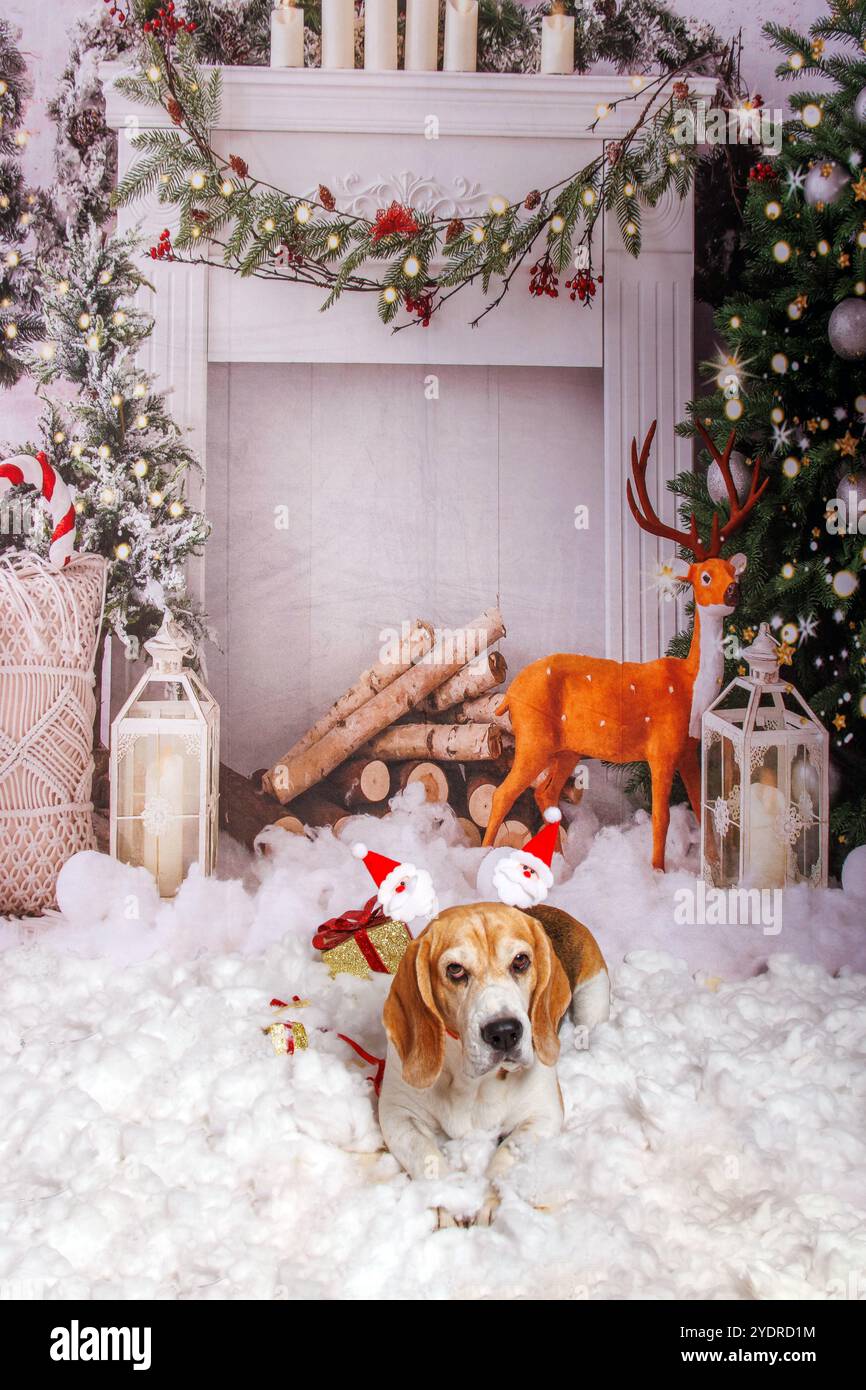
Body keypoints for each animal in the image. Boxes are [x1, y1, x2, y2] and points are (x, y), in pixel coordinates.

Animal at [378, 900, 608, 1228]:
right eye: (455, 969)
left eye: (521, 961)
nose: (504, 1032)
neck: (471, 1080)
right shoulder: (397, 1114)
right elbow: (427, 1155)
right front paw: (448, 1202)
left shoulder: (543, 1114)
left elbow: (504, 1158)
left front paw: (486, 1202)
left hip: (593, 1003)